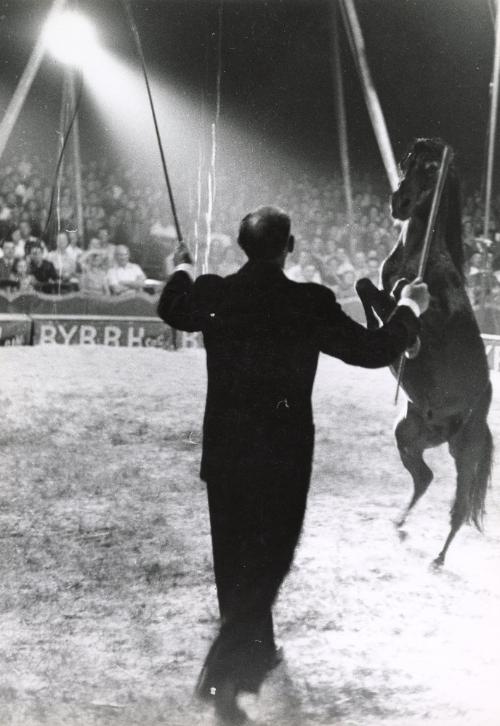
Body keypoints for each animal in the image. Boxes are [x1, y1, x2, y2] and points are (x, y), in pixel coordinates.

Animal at [360, 138, 492, 568]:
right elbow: (368, 286)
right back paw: (400, 524)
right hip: (407, 434)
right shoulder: (379, 285)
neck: (420, 258)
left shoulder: (436, 320)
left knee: (460, 505)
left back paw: (438, 557)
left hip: (466, 453)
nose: (399, 203)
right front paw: (381, 331)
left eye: (434, 167)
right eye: (408, 161)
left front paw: (411, 342)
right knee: (425, 478)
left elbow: (401, 297)